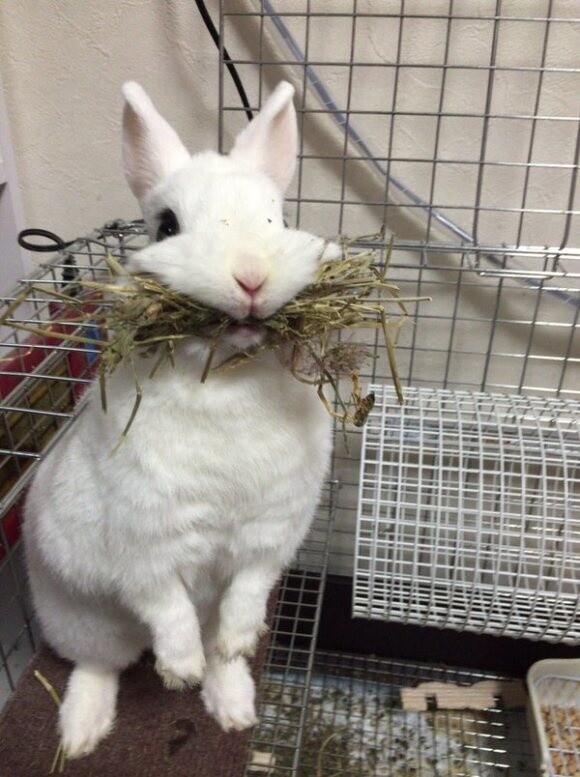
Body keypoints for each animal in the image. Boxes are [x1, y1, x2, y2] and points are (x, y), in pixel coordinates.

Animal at [23, 79, 338, 759]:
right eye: (166, 225)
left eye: (278, 218)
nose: (251, 277)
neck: (225, 376)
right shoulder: (144, 538)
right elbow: (163, 602)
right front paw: (180, 670)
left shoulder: (269, 537)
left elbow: (248, 593)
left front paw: (235, 646)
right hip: (84, 619)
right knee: (101, 664)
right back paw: (83, 731)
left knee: (214, 638)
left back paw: (234, 704)